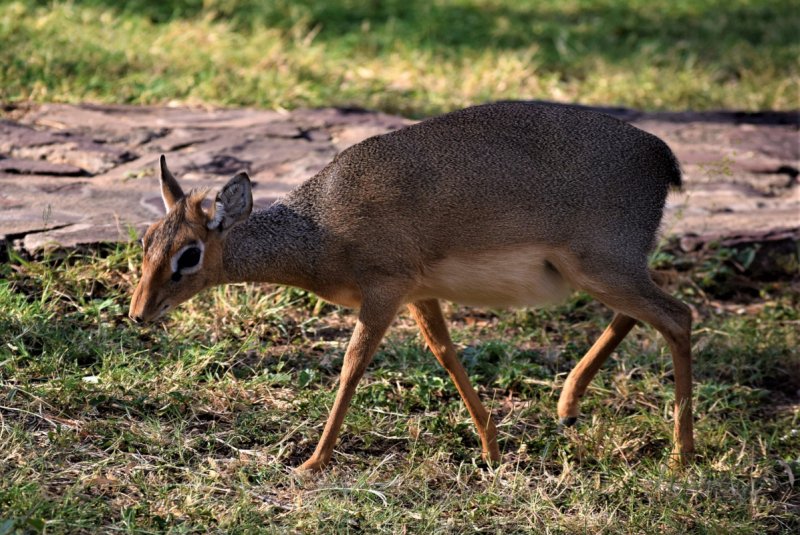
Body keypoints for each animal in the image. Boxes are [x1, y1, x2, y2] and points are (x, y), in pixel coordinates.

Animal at [129, 101, 693, 473]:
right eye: (147, 239)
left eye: (189, 254)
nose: (138, 312)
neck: (320, 227)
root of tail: (662, 155)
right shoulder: (419, 294)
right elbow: (446, 354)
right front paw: (491, 450)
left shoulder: (383, 292)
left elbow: (352, 366)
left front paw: (313, 461)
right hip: (606, 272)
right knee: (644, 314)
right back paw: (568, 407)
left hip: (602, 268)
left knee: (678, 316)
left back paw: (679, 457)